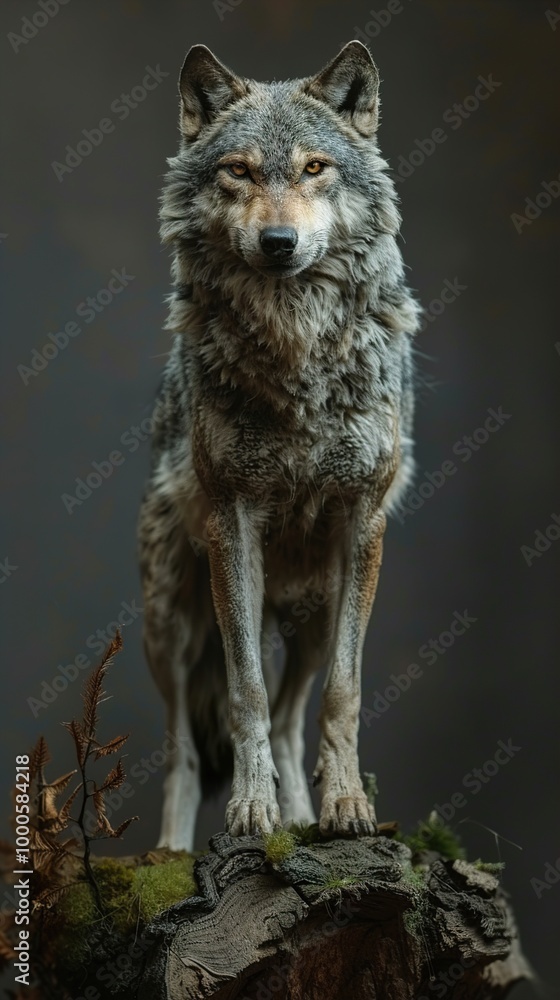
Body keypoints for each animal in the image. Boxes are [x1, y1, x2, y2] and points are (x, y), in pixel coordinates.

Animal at [138, 40, 420, 852]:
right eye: (239, 171)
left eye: (314, 168)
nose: (278, 243)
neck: (297, 353)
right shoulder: (233, 523)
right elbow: (247, 696)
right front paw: (251, 814)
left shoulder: (362, 524)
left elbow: (342, 696)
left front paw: (346, 808)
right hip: (170, 620)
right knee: (182, 746)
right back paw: (172, 851)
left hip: (316, 613)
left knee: (297, 720)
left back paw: (304, 817)